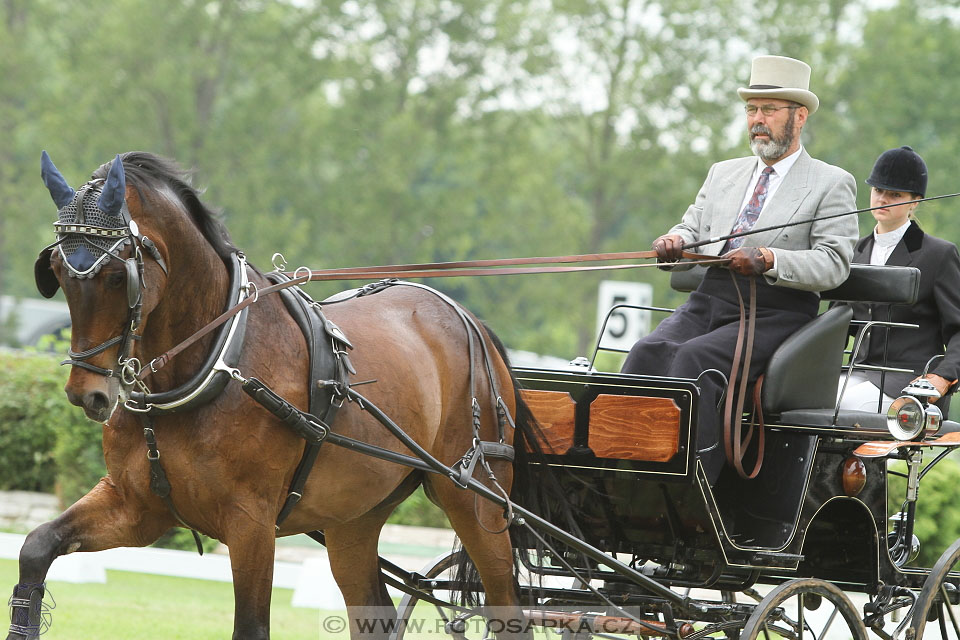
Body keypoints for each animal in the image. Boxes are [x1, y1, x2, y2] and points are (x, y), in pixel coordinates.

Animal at [5, 152, 532, 636]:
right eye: (57, 270)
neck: (214, 363)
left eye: (118, 277)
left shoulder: (251, 523)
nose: (87, 394)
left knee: (509, 607)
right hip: (354, 517)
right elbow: (36, 546)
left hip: (473, 500)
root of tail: (468, 321)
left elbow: (251, 626)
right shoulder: (137, 508)